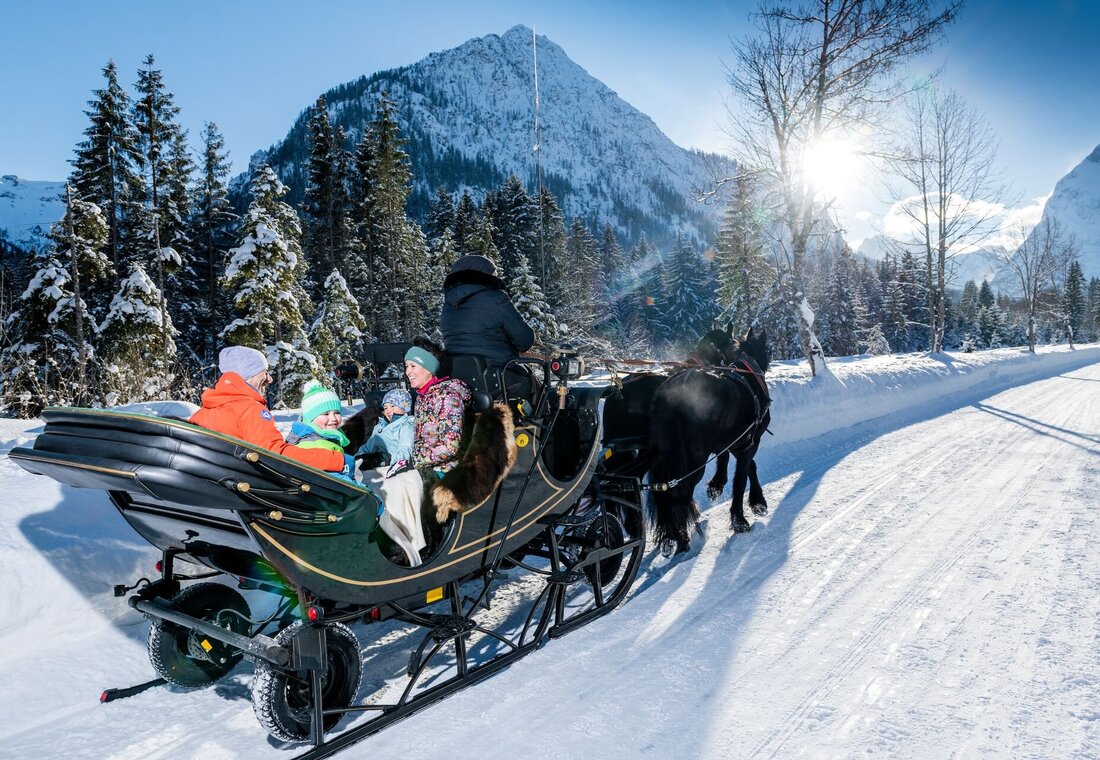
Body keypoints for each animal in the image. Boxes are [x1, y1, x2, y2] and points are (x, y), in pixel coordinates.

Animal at [646, 325, 770, 552]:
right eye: (768, 349)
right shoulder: (750, 441)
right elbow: (741, 478)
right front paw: (741, 519)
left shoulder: (735, 441)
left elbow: (746, 465)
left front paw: (720, 487)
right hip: (694, 461)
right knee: (681, 492)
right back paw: (685, 537)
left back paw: (672, 536)